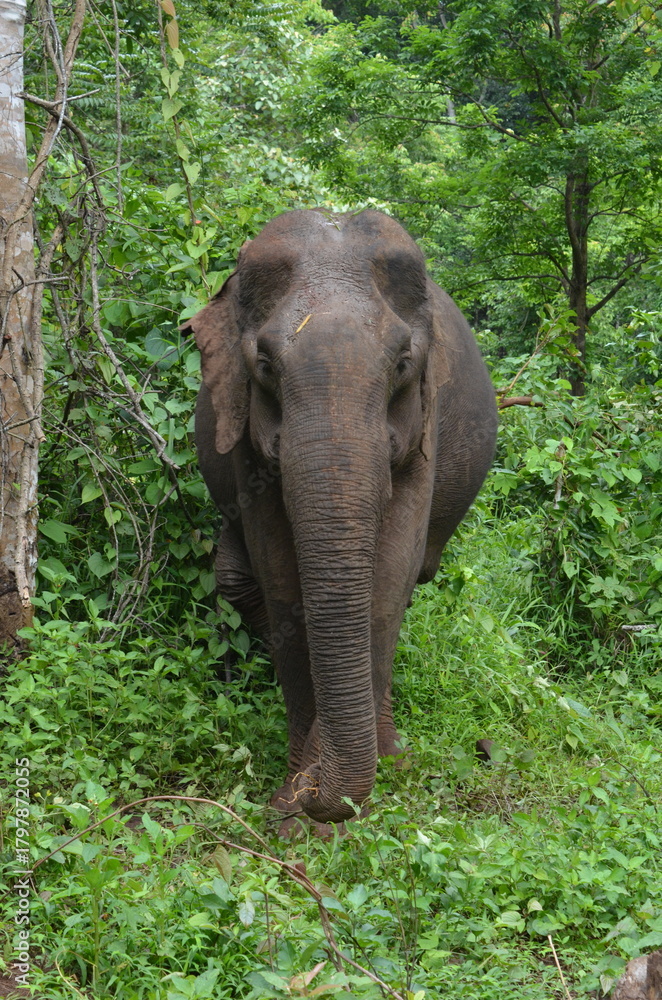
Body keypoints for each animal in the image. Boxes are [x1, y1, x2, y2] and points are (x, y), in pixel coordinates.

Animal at [182, 209, 497, 825]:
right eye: (263, 365)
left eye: (403, 364)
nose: (309, 795)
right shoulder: (245, 445)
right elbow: (281, 578)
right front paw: (293, 805)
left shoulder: (423, 432)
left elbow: (388, 581)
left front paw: (333, 804)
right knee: (234, 575)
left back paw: (391, 752)